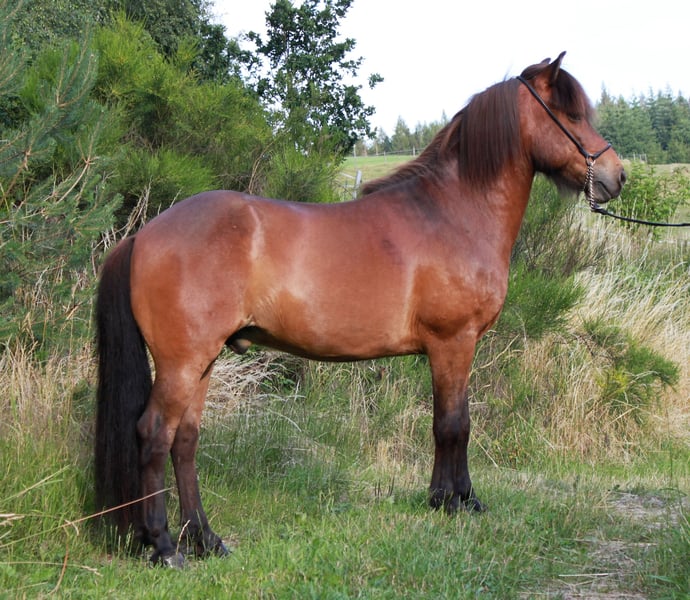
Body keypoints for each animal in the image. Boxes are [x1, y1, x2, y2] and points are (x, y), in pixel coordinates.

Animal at [95, 52, 626, 566]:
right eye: (570, 114)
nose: (617, 176)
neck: (453, 213)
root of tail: (144, 235)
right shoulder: (453, 342)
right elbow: (453, 424)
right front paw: (453, 502)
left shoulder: (455, 347)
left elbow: (454, 421)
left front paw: (454, 498)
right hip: (182, 363)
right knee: (154, 435)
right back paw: (165, 547)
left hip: (202, 361)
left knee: (185, 441)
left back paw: (206, 539)